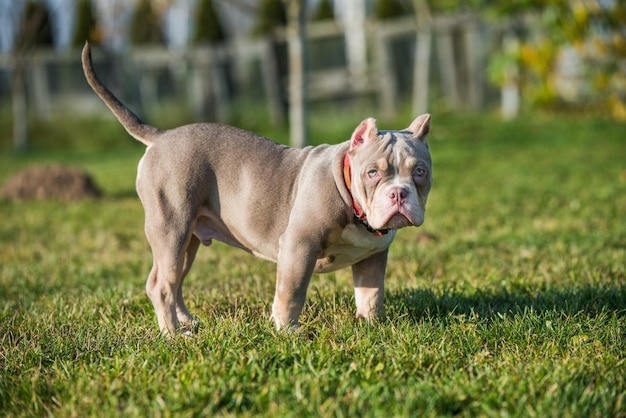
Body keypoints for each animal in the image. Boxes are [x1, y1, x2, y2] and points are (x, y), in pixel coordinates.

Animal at [80, 42, 432, 336]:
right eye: (373, 173)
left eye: (420, 172)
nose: (398, 193)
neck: (352, 200)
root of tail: (161, 136)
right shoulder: (298, 248)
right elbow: (292, 293)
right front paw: (287, 331)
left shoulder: (373, 257)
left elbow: (371, 294)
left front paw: (372, 326)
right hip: (171, 226)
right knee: (161, 285)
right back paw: (174, 336)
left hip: (187, 240)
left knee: (175, 279)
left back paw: (187, 322)